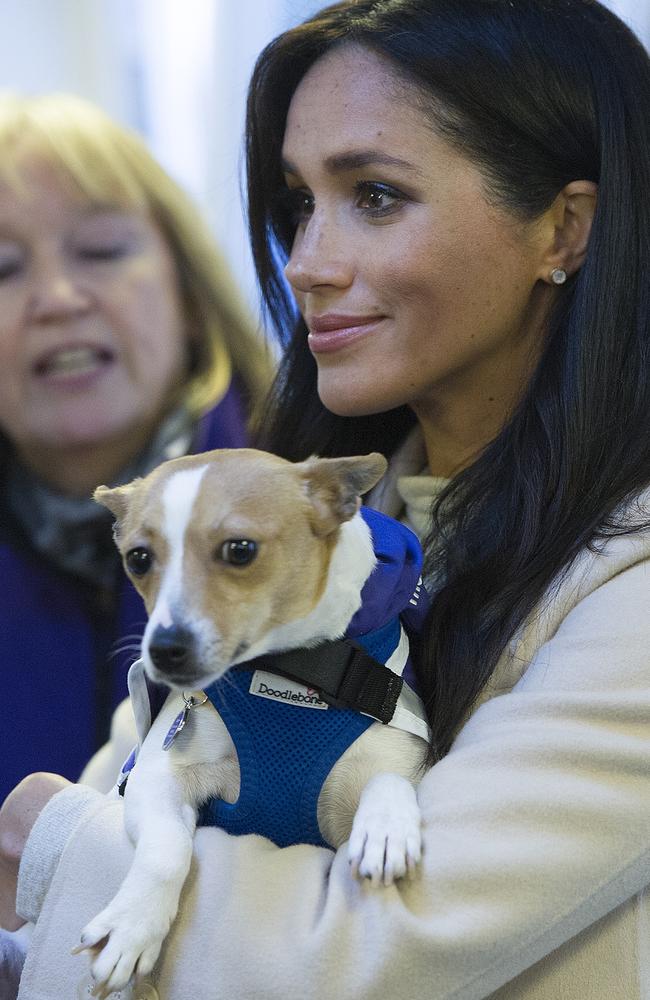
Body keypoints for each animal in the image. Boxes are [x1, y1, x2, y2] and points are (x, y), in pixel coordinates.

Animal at [76, 450, 428, 996]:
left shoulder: (394, 757)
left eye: (240, 550)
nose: (163, 649)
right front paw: (133, 925)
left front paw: (386, 827)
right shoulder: (157, 778)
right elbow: (166, 849)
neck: (292, 673)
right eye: (138, 559)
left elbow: (388, 779)